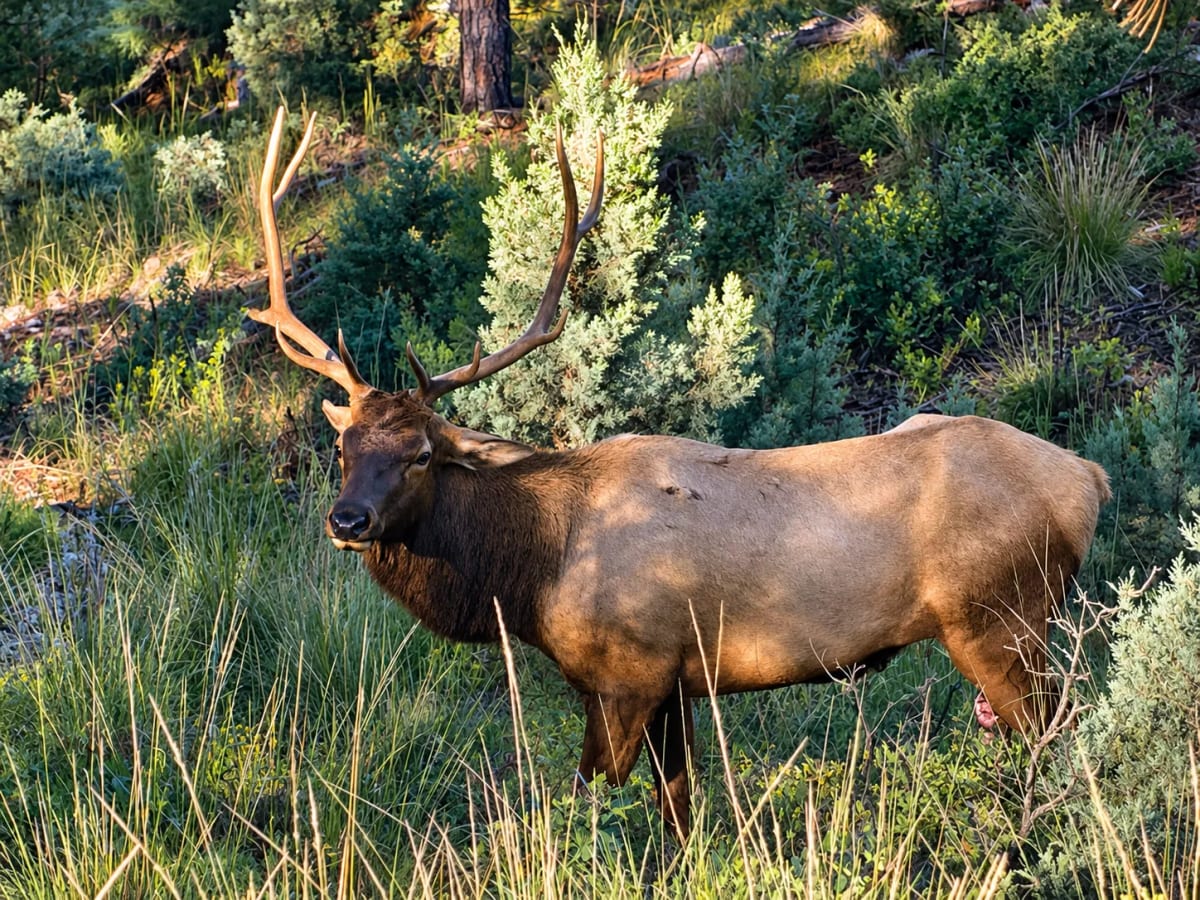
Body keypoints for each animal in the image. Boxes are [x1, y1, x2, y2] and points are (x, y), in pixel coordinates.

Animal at [249, 108, 1111, 838]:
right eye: (344, 447)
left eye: (422, 453)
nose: (347, 520)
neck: (535, 573)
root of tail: (1089, 479)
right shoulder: (676, 687)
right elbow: (678, 813)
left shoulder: (630, 672)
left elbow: (595, 799)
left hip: (1001, 619)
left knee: (1065, 735)